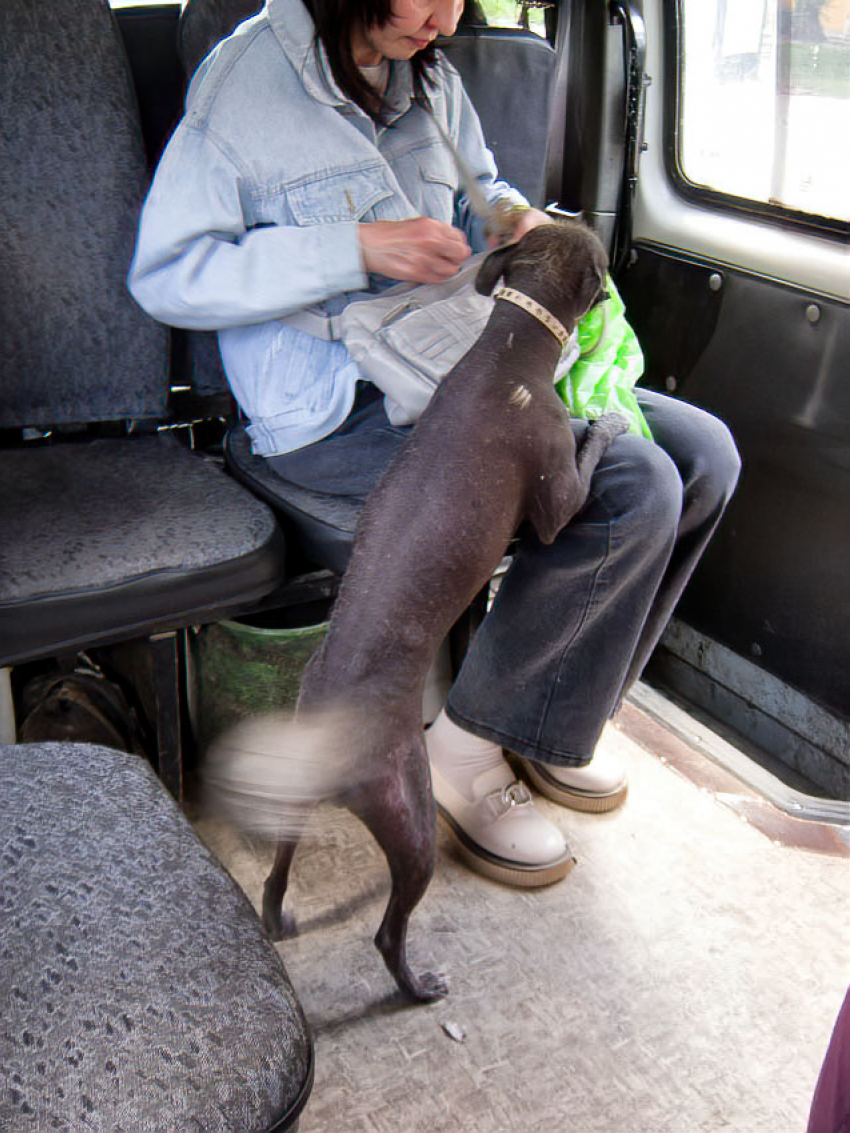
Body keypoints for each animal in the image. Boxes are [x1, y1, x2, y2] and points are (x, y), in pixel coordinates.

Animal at [210, 220, 630, 1001]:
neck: (506, 348)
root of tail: (332, 751)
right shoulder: (558, 503)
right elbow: (588, 448)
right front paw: (609, 420)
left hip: (296, 808)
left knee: (277, 876)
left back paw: (280, 918)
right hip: (411, 818)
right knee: (387, 931)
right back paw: (417, 984)